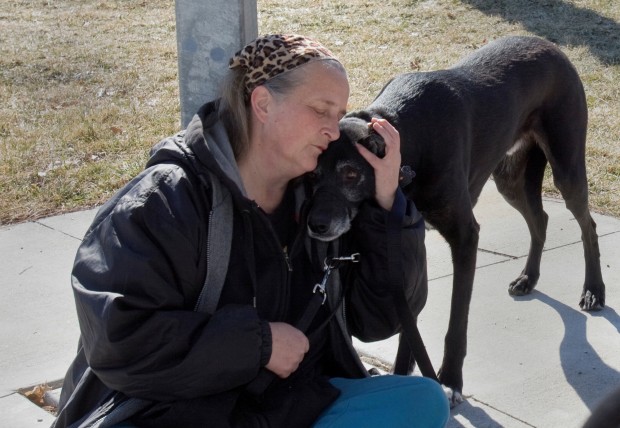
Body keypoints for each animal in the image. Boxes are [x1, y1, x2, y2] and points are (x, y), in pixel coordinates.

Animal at [306, 35, 604, 402]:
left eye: (350, 174)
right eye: (313, 174)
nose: (316, 225)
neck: (406, 138)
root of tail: (551, 46)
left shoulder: (465, 236)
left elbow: (455, 323)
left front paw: (449, 379)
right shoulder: (409, 240)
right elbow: (409, 318)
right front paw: (406, 372)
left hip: (566, 166)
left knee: (587, 225)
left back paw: (594, 290)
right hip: (509, 178)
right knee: (541, 220)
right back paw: (528, 277)